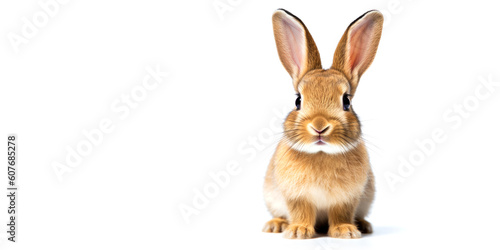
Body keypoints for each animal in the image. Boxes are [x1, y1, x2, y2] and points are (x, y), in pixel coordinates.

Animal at [262, 9, 382, 240]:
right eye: (298, 100)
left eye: (346, 101)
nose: (319, 126)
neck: (321, 154)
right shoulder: (297, 197)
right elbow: (301, 212)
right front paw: (298, 231)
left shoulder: (346, 199)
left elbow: (341, 214)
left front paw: (345, 231)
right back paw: (276, 225)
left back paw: (363, 225)